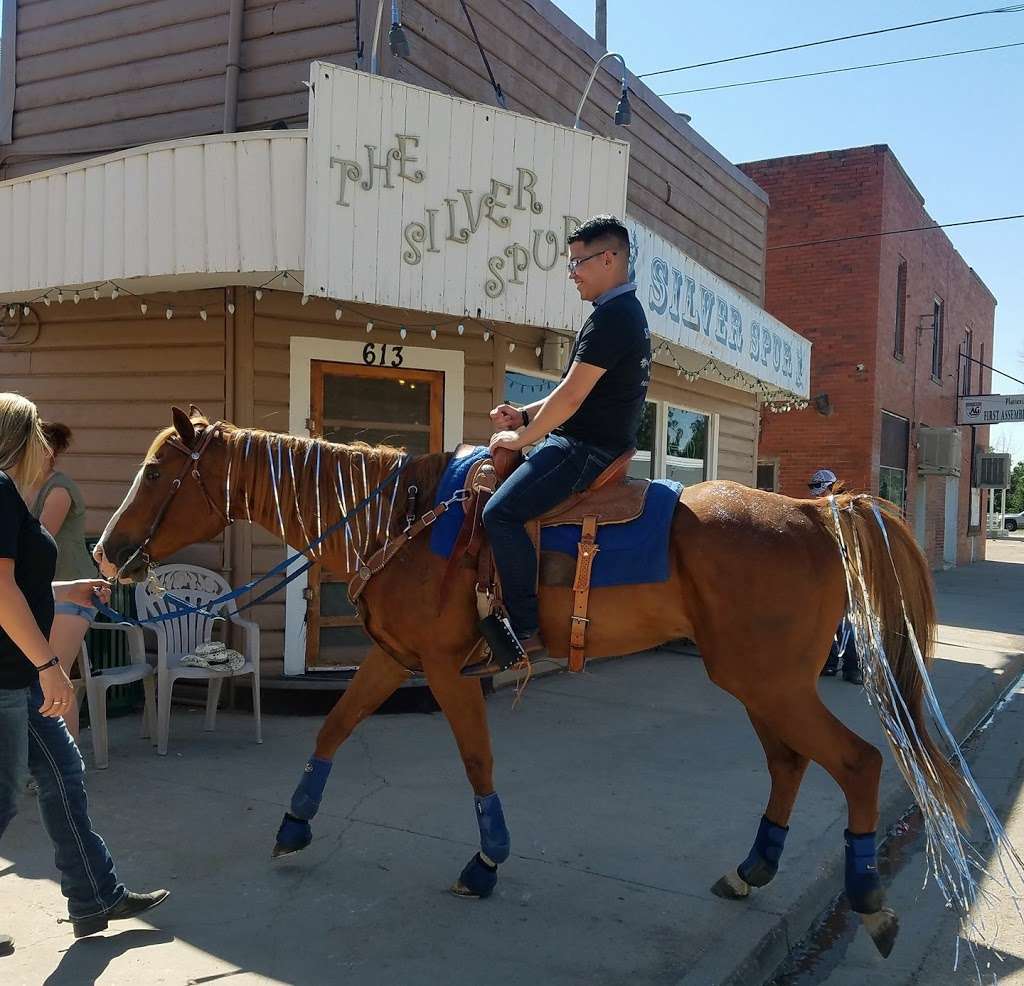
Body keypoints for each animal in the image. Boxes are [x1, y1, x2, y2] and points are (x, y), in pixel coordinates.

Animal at [92, 407, 962, 954]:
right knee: (789, 762)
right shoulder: (395, 658)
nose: (105, 552)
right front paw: (295, 824)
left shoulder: (446, 670)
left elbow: (476, 760)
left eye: (155, 472)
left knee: (857, 761)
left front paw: (485, 863)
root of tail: (817, 512)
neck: (403, 522)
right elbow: (336, 725)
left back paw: (869, 904)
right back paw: (749, 873)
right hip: (756, 681)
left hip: (771, 681)